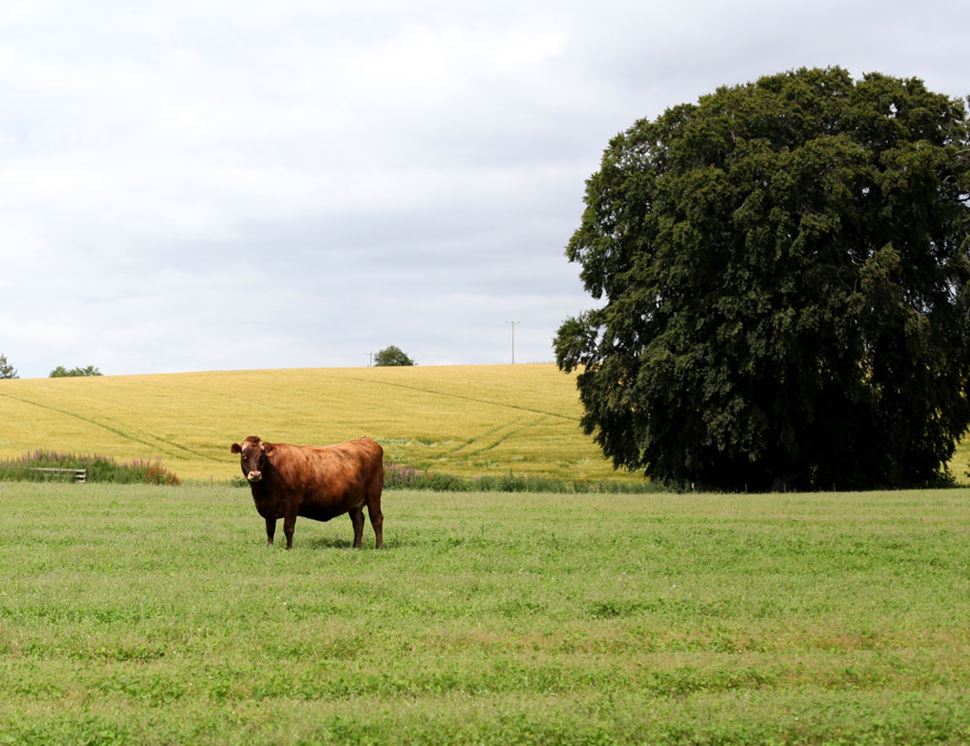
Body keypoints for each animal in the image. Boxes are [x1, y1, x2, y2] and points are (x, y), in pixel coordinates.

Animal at [232, 434, 386, 548]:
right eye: (244, 457)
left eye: (262, 457)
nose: (255, 474)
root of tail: (367, 440)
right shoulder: (268, 507)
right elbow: (270, 529)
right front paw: (269, 546)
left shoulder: (291, 503)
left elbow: (288, 528)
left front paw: (288, 548)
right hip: (353, 501)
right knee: (358, 521)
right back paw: (356, 546)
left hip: (373, 494)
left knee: (376, 519)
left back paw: (378, 546)